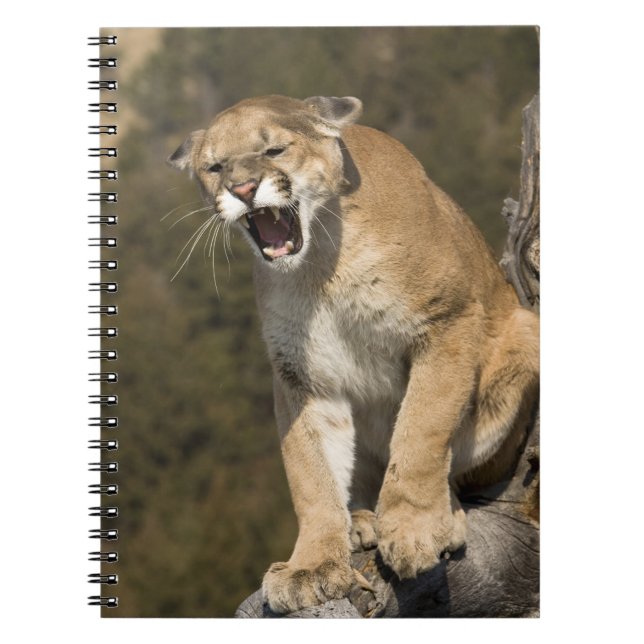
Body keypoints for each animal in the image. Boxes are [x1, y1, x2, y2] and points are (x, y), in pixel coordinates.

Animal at [168, 95, 539, 614]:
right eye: (215, 167)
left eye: (275, 149)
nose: (242, 188)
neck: (321, 264)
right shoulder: (301, 376)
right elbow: (309, 472)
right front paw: (311, 566)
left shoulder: (447, 323)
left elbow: (421, 431)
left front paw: (413, 529)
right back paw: (361, 520)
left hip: (523, 334)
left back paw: (439, 517)